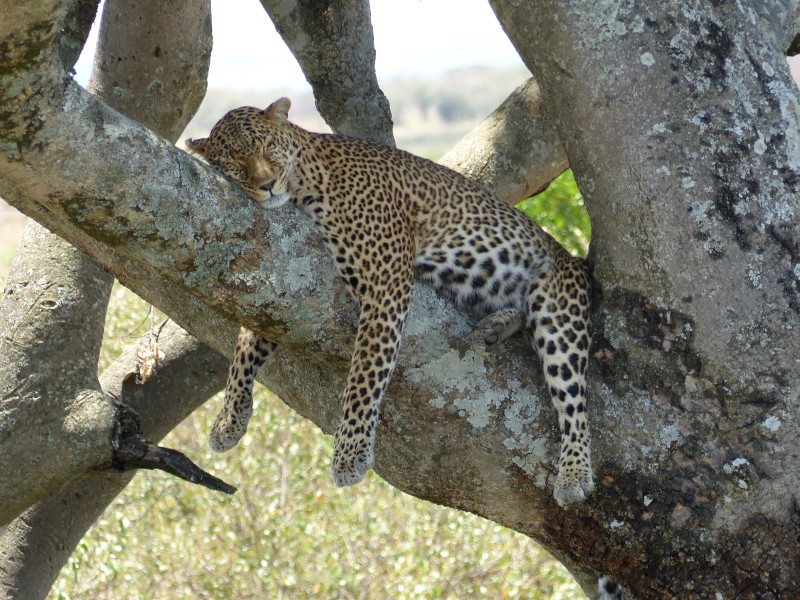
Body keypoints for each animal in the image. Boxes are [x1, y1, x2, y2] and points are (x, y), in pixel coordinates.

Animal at [186, 97, 594, 507]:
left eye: (267, 148)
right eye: (235, 162)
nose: (267, 186)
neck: (308, 181)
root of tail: (571, 259)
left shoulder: (385, 283)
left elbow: (364, 374)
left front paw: (350, 454)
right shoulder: (280, 290)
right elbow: (246, 343)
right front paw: (229, 418)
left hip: (559, 313)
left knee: (575, 405)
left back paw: (574, 473)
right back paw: (494, 328)